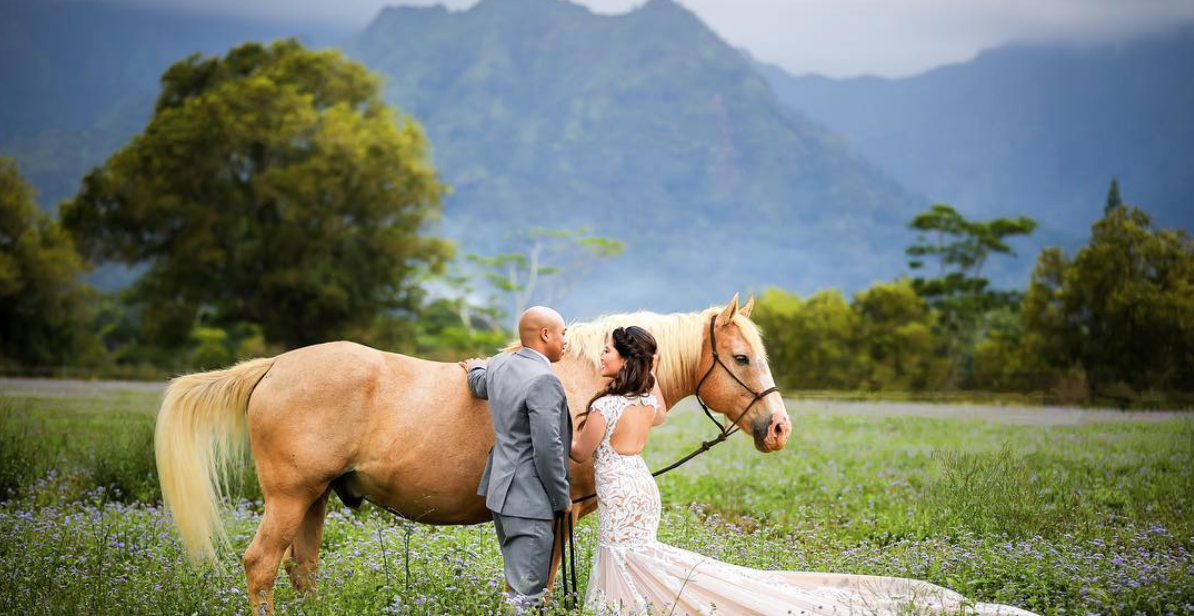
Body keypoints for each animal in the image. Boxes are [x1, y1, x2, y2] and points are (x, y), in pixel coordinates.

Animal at [156, 293, 792, 611]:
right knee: (261, 565)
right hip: (288, 498)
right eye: (741, 358)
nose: (779, 428)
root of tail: (274, 366)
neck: (587, 380)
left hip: (313, 500)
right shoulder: (560, 513)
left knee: (301, 570)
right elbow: (544, 581)